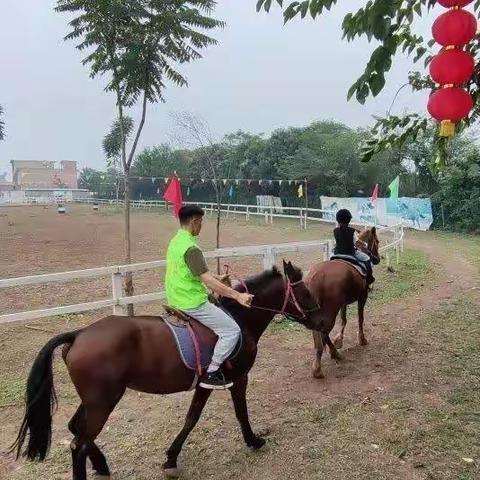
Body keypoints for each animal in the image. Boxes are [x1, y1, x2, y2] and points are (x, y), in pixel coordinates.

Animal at [12, 262, 322, 480]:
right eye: (304, 291)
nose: (320, 318)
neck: (239, 319)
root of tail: (79, 334)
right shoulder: (238, 378)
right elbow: (237, 412)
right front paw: (254, 440)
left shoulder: (205, 384)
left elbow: (191, 418)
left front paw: (171, 459)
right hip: (103, 402)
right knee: (79, 445)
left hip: (93, 401)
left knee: (76, 430)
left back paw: (101, 465)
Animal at [306, 228, 380, 378]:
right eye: (377, 241)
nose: (377, 259)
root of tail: (316, 276)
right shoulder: (362, 297)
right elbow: (360, 318)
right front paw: (362, 339)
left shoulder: (343, 303)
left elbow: (344, 319)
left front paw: (339, 340)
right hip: (330, 311)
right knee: (323, 332)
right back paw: (321, 365)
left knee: (322, 333)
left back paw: (333, 354)